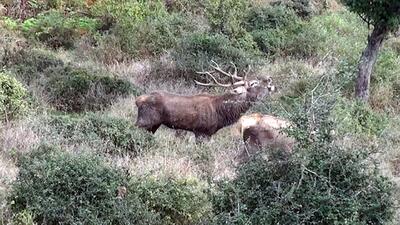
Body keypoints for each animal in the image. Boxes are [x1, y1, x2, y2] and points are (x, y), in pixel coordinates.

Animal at [134, 61, 276, 141]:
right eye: (253, 84)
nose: (270, 82)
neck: (221, 113)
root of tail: (138, 100)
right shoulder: (201, 131)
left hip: (153, 125)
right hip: (144, 121)